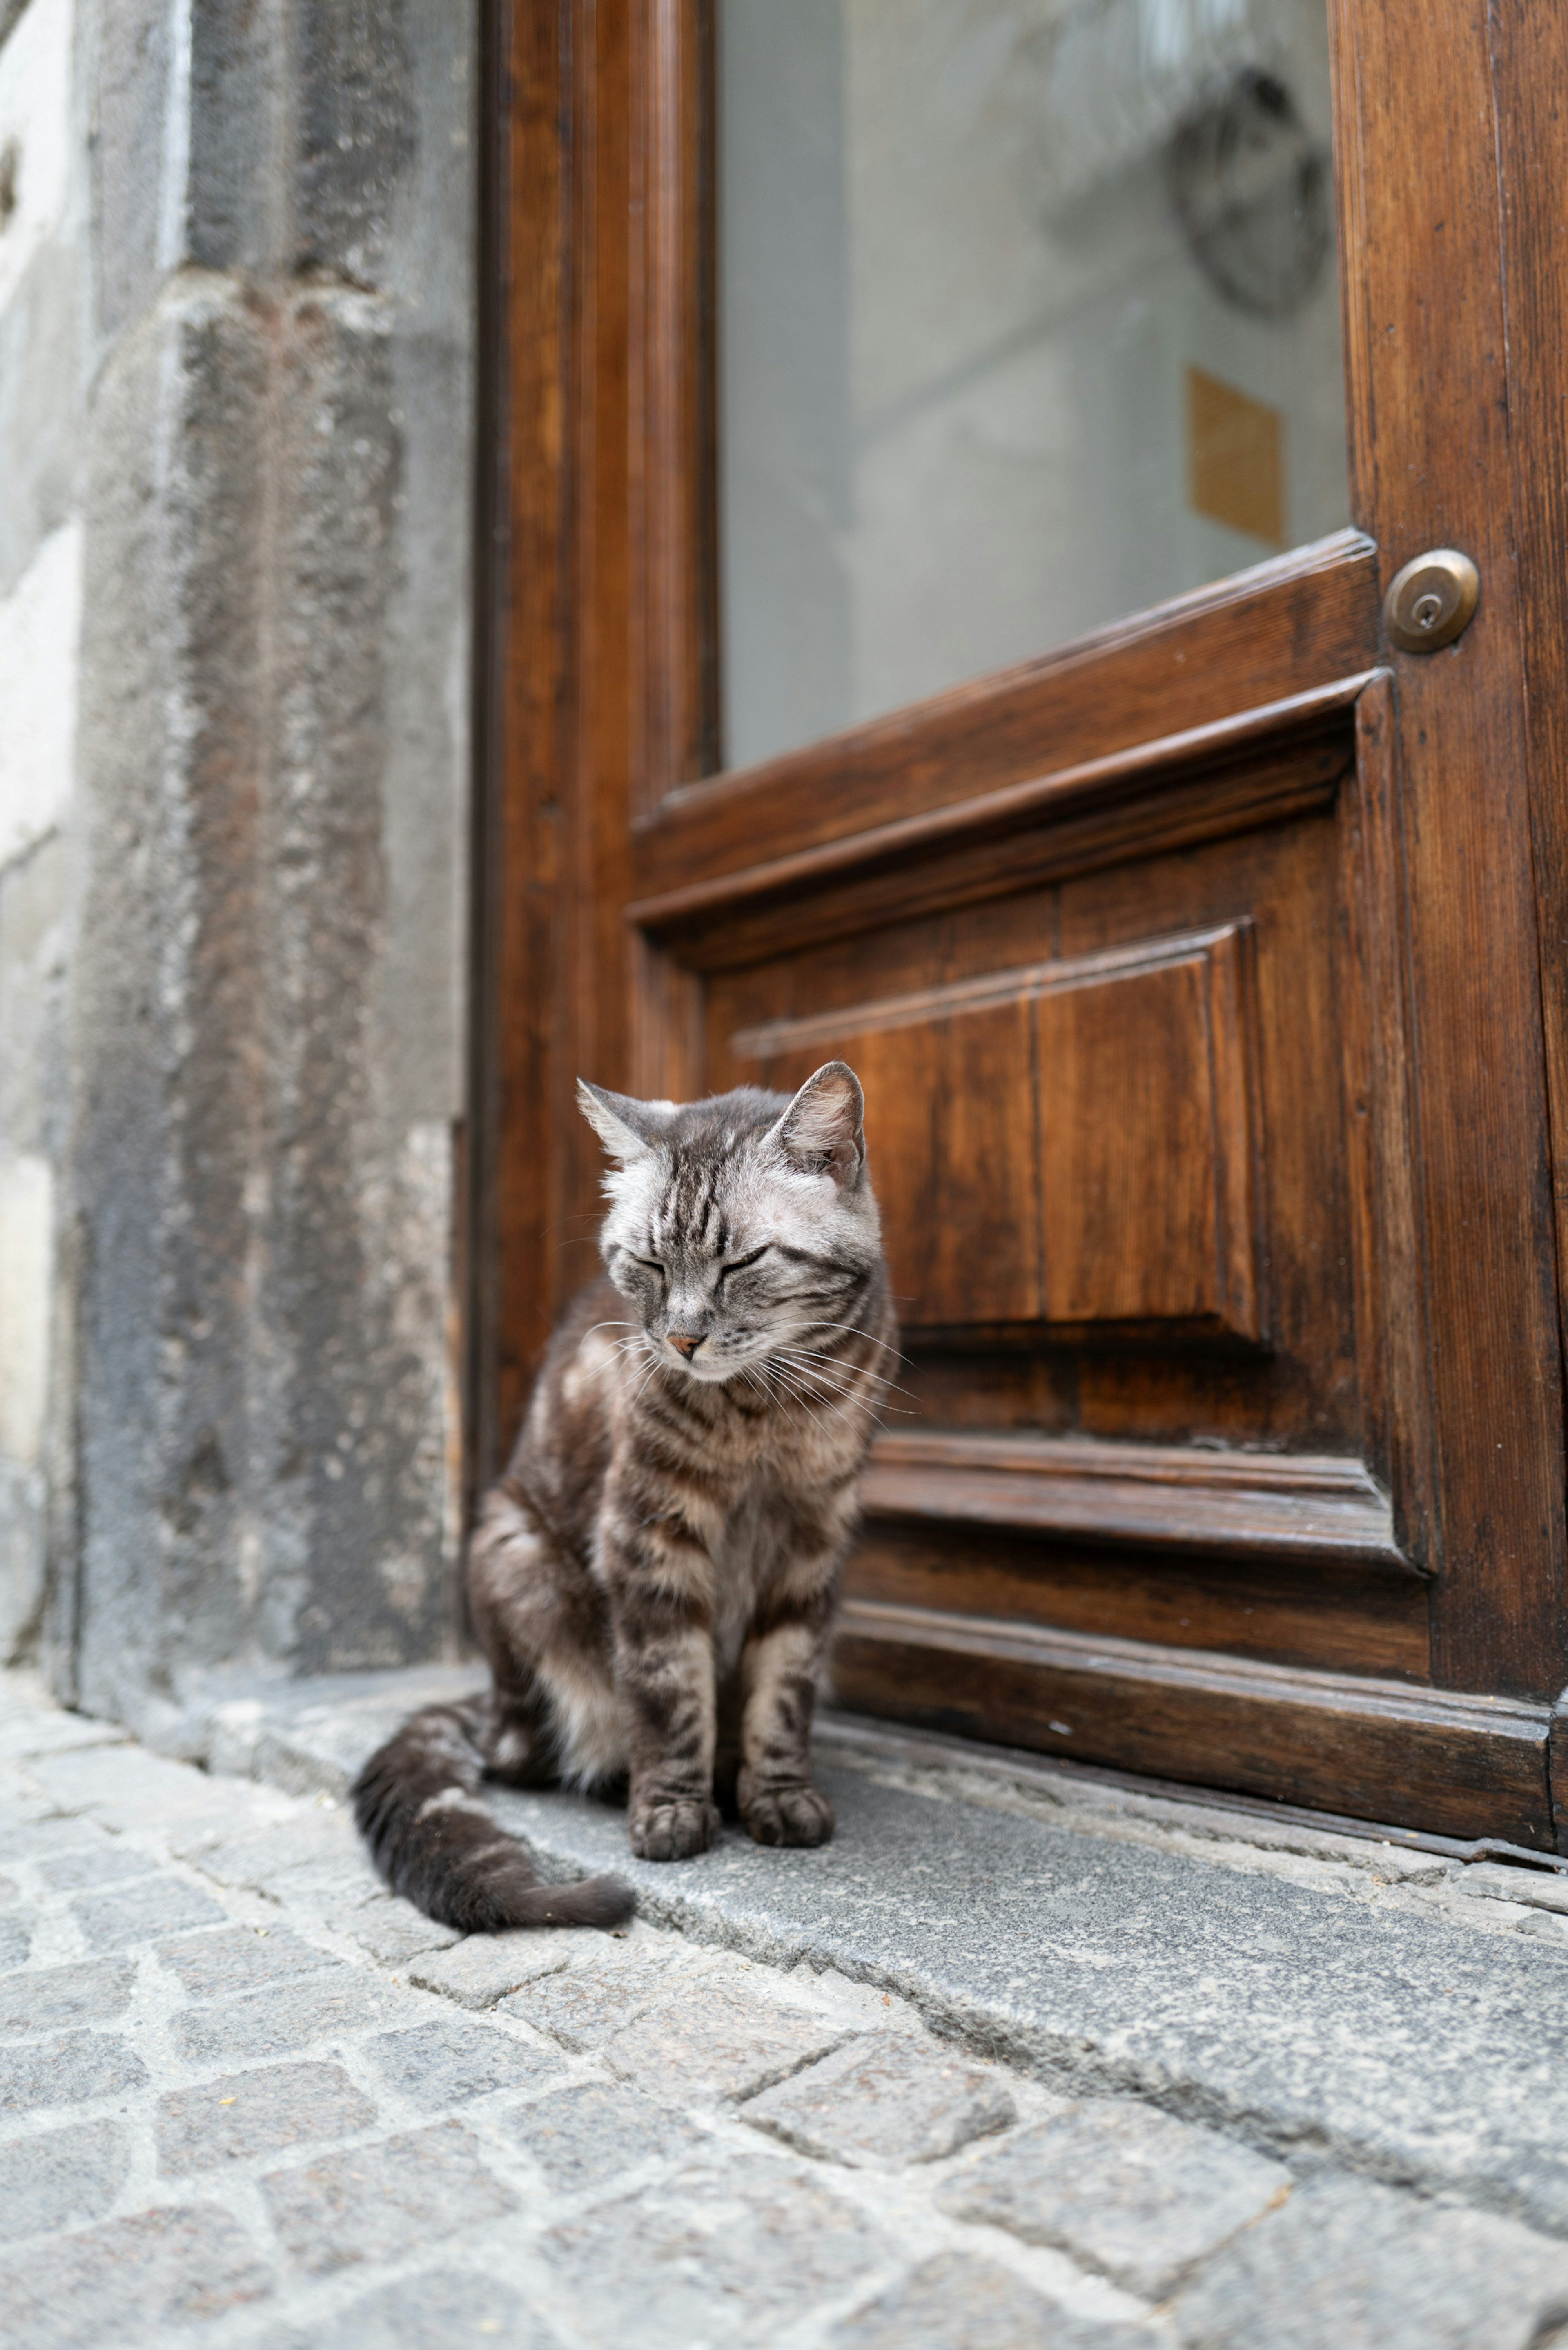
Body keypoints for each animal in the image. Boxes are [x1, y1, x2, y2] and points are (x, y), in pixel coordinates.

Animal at [355, 1062, 893, 1927]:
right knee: (534, 1755)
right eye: (649, 1262)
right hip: (518, 1565)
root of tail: (490, 1703)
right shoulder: (647, 1532)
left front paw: (779, 1794)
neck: (764, 1411)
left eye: (742, 1263)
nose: (681, 1338)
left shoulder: (813, 1543)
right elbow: (670, 1687)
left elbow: (784, 1687)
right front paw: (671, 1810)